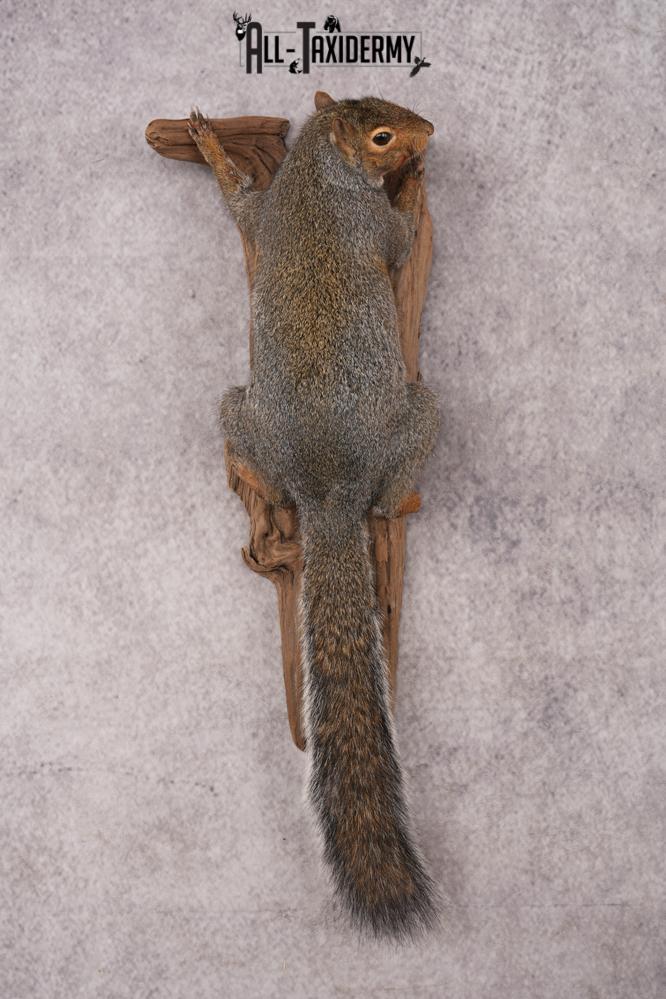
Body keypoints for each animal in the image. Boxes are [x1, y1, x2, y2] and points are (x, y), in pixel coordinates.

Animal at [188, 91, 441, 941]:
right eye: (383, 133)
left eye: (387, 103)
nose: (428, 134)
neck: (315, 176)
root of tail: (327, 492)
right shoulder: (367, 227)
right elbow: (399, 237)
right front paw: (413, 186)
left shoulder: (265, 216)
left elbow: (238, 203)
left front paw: (212, 148)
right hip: (415, 414)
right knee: (392, 488)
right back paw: (401, 497)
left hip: (243, 411)